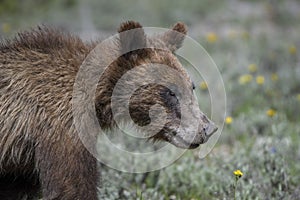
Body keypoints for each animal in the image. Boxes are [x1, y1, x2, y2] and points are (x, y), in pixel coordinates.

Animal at [0, 21, 217, 199]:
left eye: (191, 86)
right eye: (170, 92)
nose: (208, 128)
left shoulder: (20, 164)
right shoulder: (60, 128)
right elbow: (72, 186)